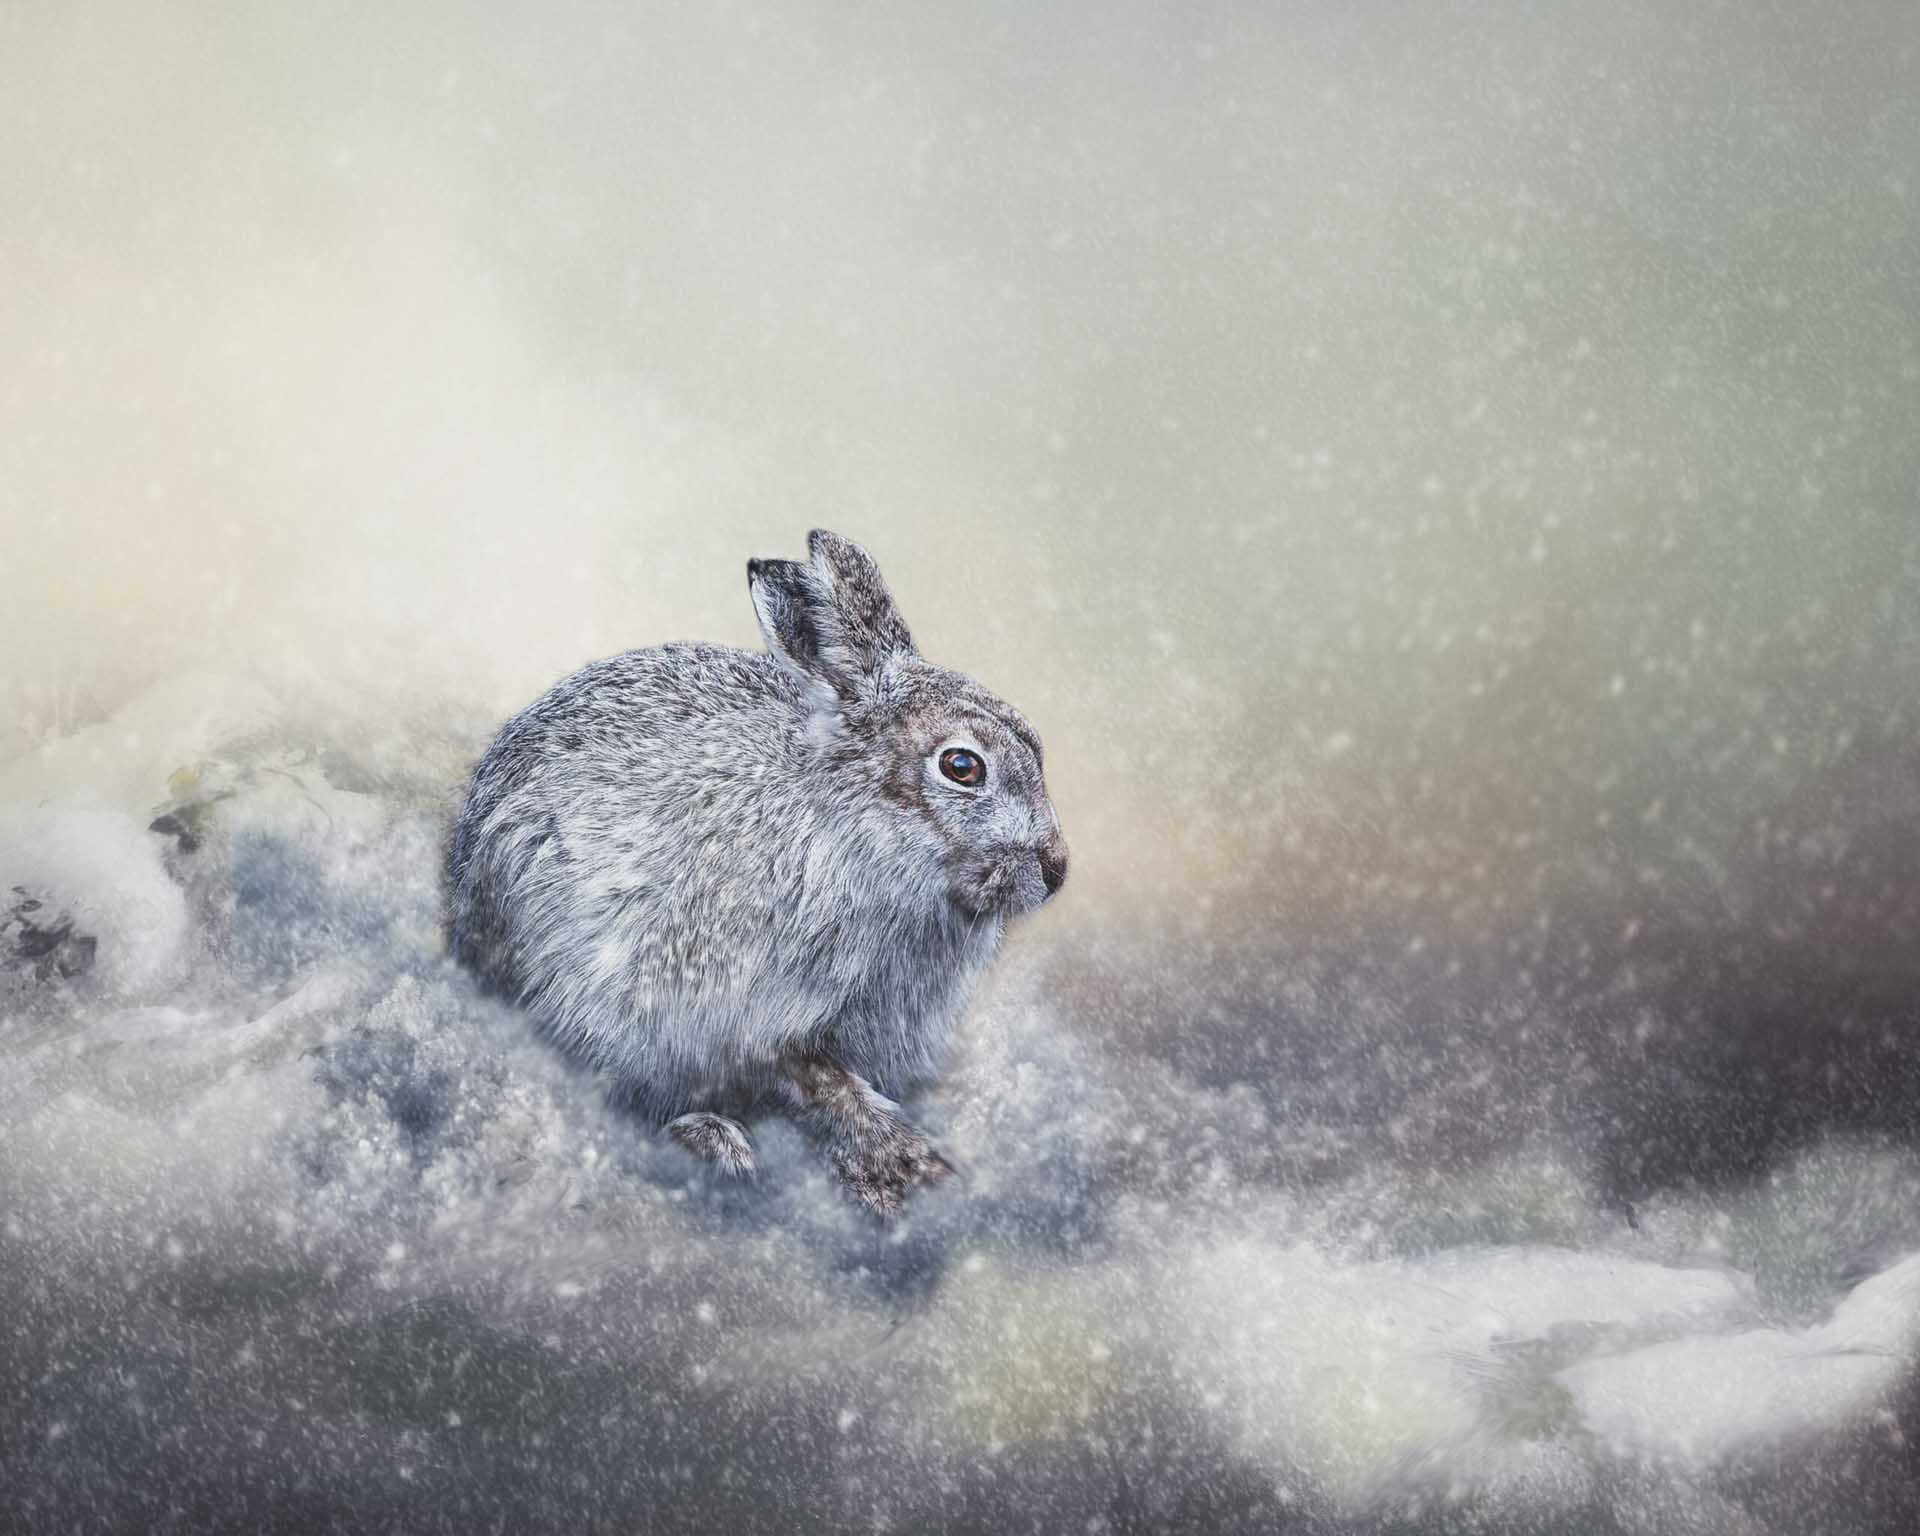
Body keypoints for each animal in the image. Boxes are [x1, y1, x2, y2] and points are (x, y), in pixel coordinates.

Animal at [447, 529, 1067, 1215]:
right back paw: (713, 1141)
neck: (861, 827)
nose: (1056, 869)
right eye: (962, 766)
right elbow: (820, 1079)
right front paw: (904, 1167)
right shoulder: (735, 1005)